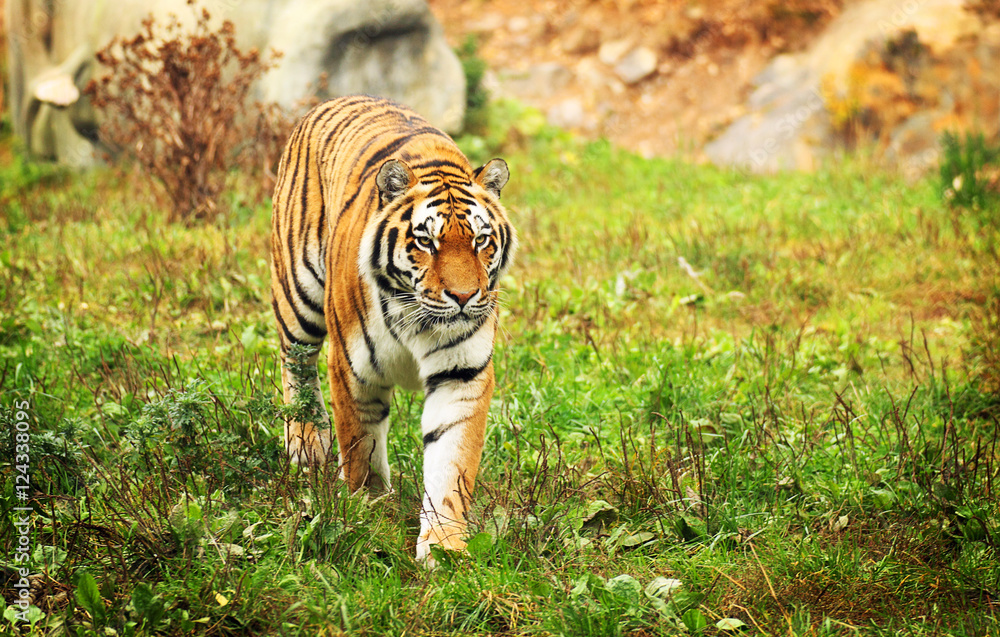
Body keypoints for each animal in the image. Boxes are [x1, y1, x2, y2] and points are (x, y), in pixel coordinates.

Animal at [269, 95, 516, 564]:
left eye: (480, 241)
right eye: (426, 242)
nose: (464, 296)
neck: (419, 318)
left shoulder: (461, 376)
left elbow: (450, 466)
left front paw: (443, 547)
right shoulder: (352, 370)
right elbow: (360, 447)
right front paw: (371, 511)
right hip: (298, 292)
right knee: (295, 360)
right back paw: (306, 441)